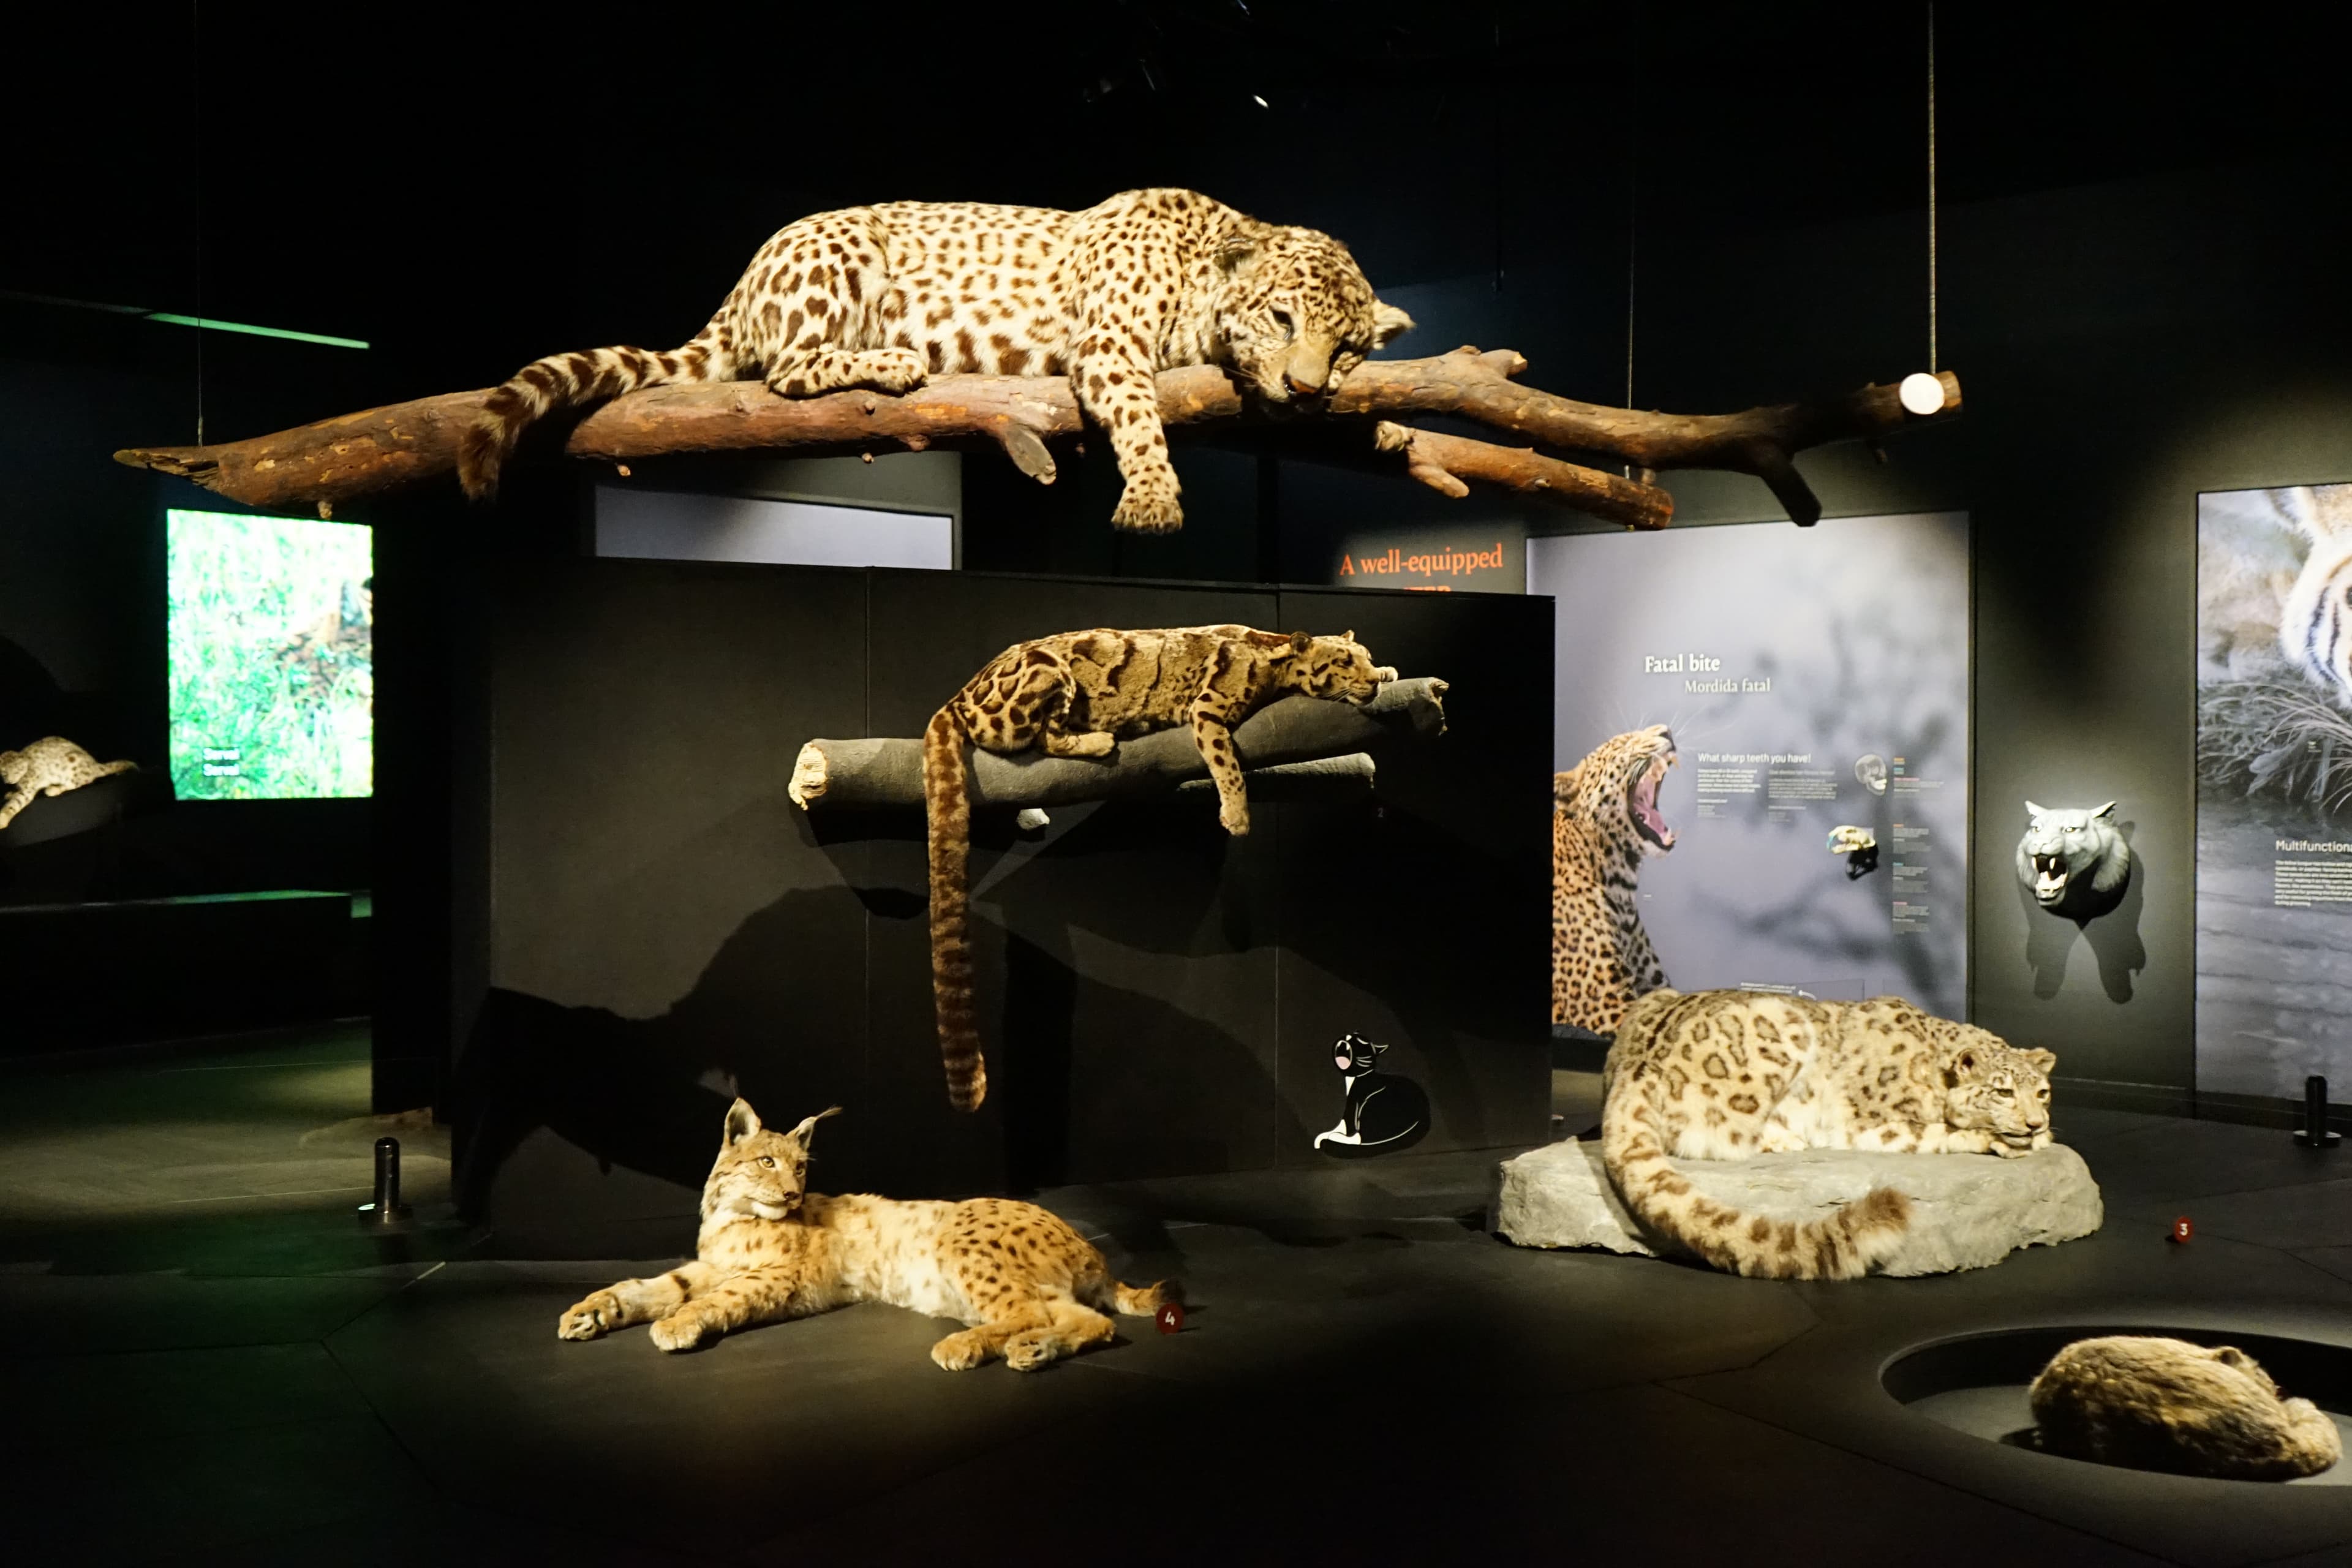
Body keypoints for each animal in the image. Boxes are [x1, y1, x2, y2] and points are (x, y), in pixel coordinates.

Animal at [463, 187, 1411, 531]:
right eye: (1282, 319)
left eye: (1348, 350)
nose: (1305, 388)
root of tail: (739, 287)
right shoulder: (1108, 344)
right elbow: (1143, 418)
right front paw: (1151, 496)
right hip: (843, 251)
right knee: (788, 368)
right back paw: (889, 363)